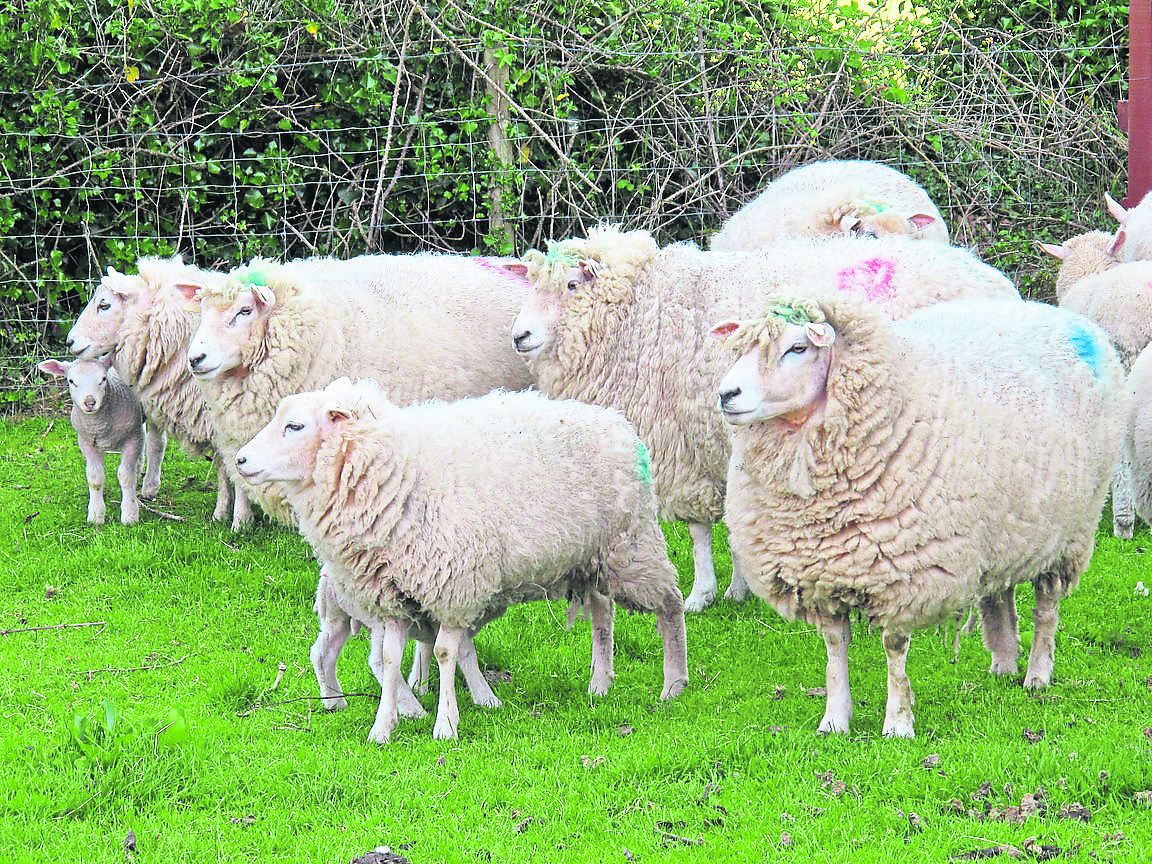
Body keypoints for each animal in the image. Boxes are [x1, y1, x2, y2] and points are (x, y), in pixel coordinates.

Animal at [36, 355, 146, 525]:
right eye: (71, 381)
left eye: (103, 379)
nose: (90, 402)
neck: (100, 426)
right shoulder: (87, 443)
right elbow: (95, 478)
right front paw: (96, 515)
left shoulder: (132, 437)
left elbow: (126, 477)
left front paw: (130, 515)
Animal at [66, 256, 244, 523]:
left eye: (104, 305)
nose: (69, 341)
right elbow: (224, 464)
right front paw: (223, 510)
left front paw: (239, 518)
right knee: (155, 442)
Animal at [234, 379, 689, 742]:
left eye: (295, 426)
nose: (239, 460)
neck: (395, 469)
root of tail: (616, 422)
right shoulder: (392, 596)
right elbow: (389, 659)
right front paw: (383, 727)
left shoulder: (453, 587)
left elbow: (443, 654)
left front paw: (445, 724)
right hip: (591, 557)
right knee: (601, 612)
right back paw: (600, 682)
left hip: (631, 543)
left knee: (670, 603)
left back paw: (674, 684)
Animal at [509, 226, 1019, 611]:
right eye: (532, 285)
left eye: (571, 286)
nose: (519, 335)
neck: (638, 311)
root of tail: (996, 281)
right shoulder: (719, 440)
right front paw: (738, 588)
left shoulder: (685, 446)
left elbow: (699, 531)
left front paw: (702, 594)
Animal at [711, 294, 1126, 737]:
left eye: (798, 348)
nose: (726, 394)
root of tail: (1056, 313)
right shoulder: (822, 574)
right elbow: (835, 648)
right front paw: (835, 720)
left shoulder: (905, 576)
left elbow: (894, 651)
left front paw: (897, 722)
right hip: (1006, 528)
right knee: (1000, 595)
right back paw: (1003, 663)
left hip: (1069, 532)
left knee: (1046, 607)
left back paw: (1037, 674)